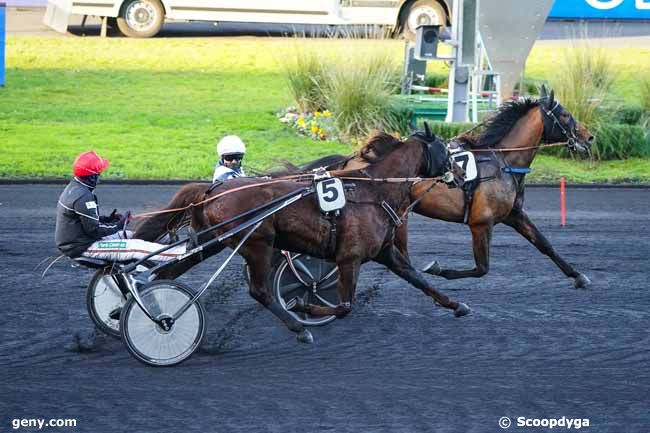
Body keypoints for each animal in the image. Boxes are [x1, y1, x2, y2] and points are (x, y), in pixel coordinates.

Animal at [134, 128, 466, 344]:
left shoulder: (385, 252)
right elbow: (344, 306)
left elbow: (418, 278)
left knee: (168, 271)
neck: (372, 192)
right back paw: (298, 328)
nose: (462, 176)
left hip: (211, 241)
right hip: (257, 243)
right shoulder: (349, 258)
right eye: (444, 150)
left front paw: (456, 305)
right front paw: (304, 307)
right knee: (260, 291)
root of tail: (212, 190)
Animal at [282, 85, 592, 286]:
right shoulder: (481, 223)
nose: (588, 138)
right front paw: (438, 269)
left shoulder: (513, 214)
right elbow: (481, 268)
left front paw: (578, 276)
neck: (502, 161)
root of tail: (353, 161)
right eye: (565, 115)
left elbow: (545, 244)